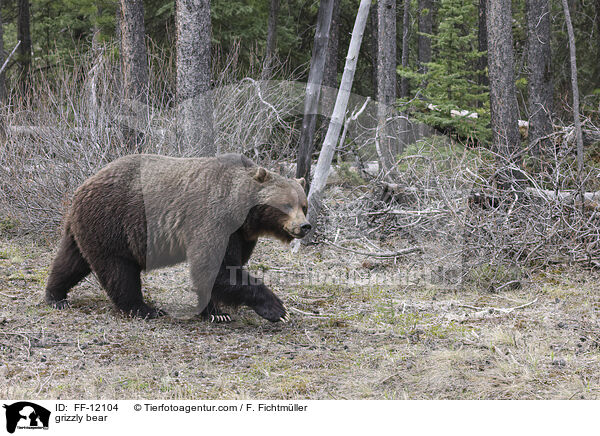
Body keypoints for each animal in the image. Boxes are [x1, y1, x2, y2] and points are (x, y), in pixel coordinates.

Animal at [44, 152, 312, 320]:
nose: (305, 226)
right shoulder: (213, 220)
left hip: (86, 228)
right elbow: (215, 268)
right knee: (119, 272)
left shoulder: (241, 235)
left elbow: (226, 269)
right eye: (287, 204)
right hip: (113, 223)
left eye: (304, 205)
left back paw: (56, 296)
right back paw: (145, 309)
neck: (242, 212)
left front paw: (216, 311)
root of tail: (82, 185)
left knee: (70, 261)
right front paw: (276, 308)